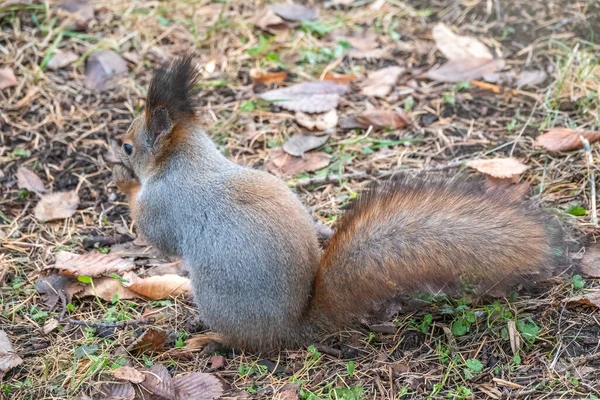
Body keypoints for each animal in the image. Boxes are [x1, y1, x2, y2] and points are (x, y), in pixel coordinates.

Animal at [111, 54, 568, 352]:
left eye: (129, 145)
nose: (117, 152)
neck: (189, 159)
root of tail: (289, 330)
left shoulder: (167, 204)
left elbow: (156, 234)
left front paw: (125, 185)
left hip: (215, 296)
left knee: (245, 343)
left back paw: (213, 339)